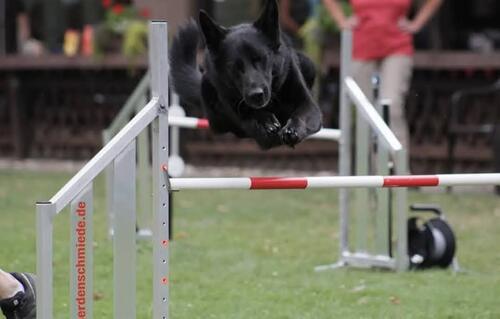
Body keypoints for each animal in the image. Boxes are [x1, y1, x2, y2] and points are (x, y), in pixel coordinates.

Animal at [170, 0, 322, 150]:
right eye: (234, 66)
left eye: (261, 58)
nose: (256, 95)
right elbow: (251, 116)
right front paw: (265, 120)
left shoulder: (309, 106)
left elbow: (301, 115)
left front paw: (292, 129)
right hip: (206, 87)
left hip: (308, 63)